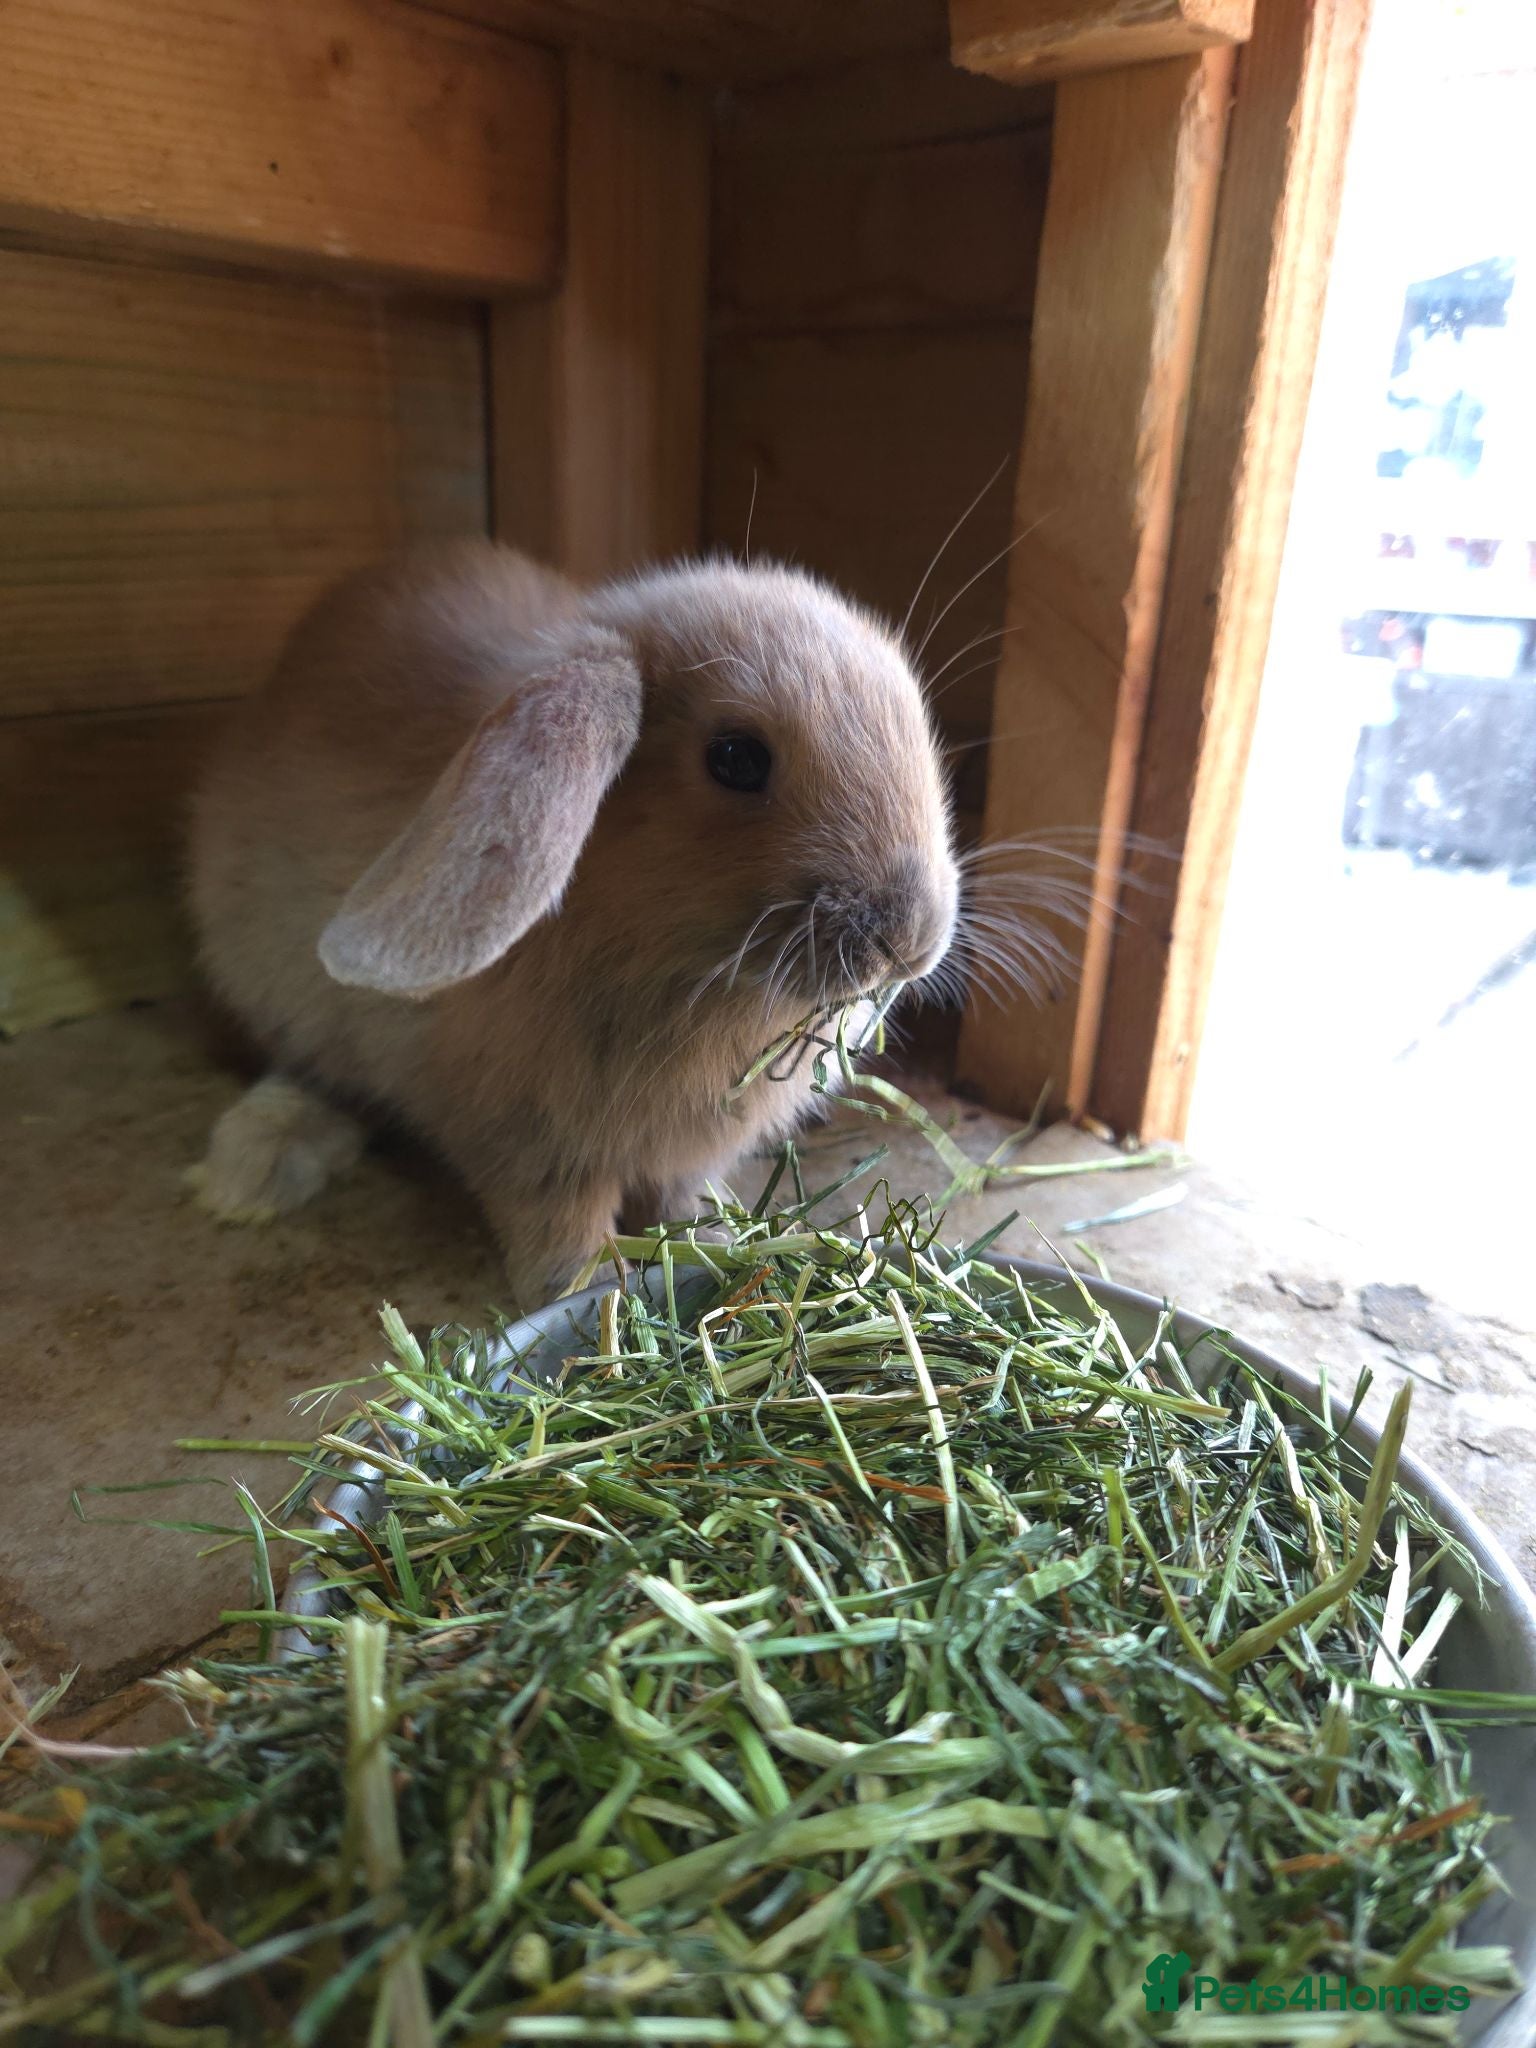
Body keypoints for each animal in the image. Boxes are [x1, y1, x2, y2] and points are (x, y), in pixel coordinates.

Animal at [187, 539, 960, 1308]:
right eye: (736, 757)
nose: (909, 941)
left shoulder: (679, 1155)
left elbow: (683, 1196)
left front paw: (714, 1240)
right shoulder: (526, 1144)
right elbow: (560, 1220)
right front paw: (582, 1289)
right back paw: (249, 1175)